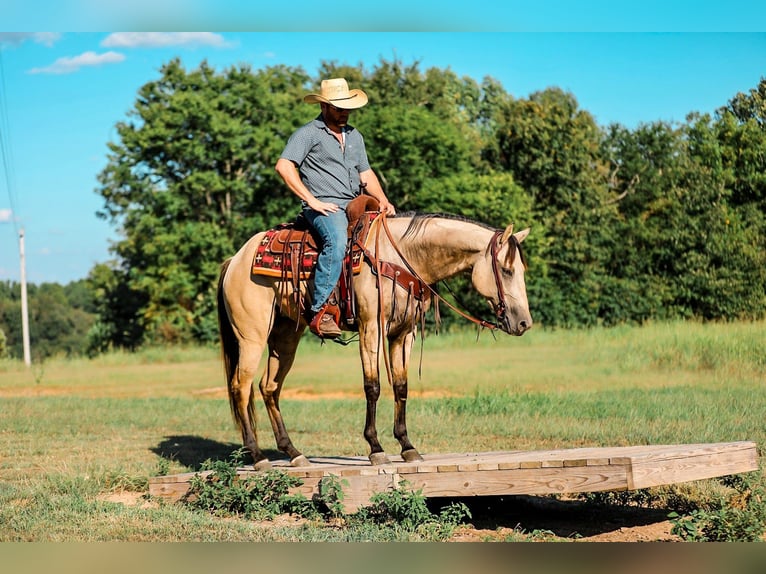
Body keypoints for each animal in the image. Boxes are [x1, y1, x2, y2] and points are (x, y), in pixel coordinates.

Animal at [216, 211, 532, 469]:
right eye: (506, 270)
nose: (524, 323)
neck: (400, 257)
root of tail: (236, 260)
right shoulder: (372, 327)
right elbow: (373, 386)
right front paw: (376, 448)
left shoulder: (404, 333)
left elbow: (402, 386)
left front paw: (407, 446)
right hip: (252, 336)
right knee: (241, 387)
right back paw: (258, 456)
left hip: (286, 336)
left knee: (269, 387)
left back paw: (293, 452)